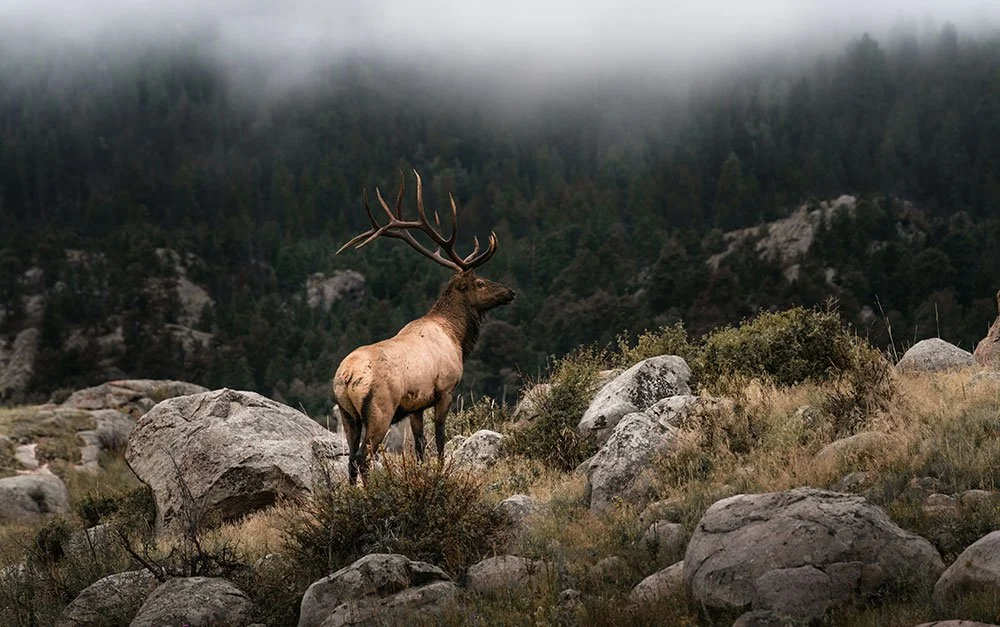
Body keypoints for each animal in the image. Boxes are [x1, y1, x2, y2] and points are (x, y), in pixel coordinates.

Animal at [333, 170, 516, 484]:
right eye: (480, 282)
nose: (510, 292)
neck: (457, 338)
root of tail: (346, 377)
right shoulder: (445, 389)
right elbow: (440, 438)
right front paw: (443, 471)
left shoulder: (415, 405)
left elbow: (419, 446)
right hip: (380, 410)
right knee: (363, 457)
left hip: (347, 416)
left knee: (350, 459)